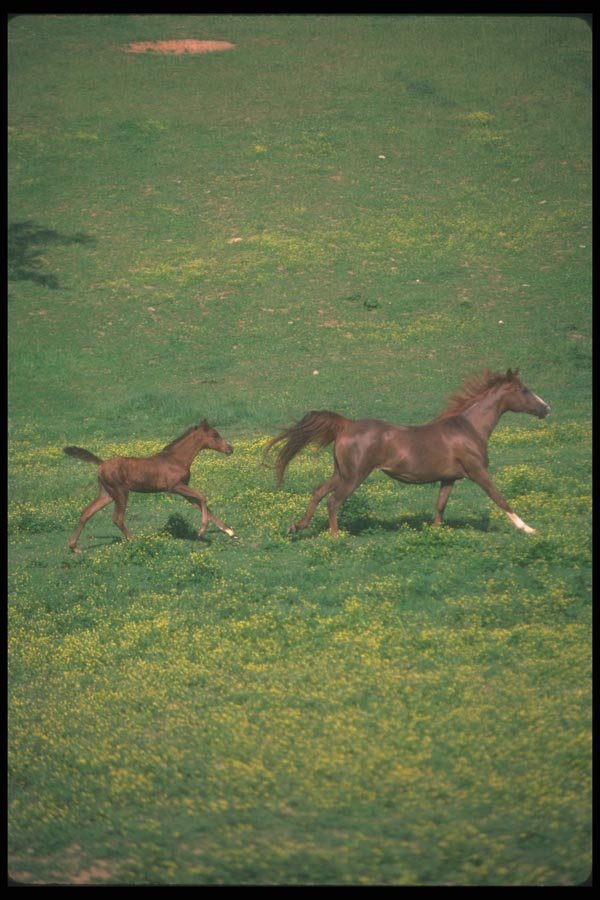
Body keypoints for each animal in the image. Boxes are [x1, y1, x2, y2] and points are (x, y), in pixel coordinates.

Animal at [64, 420, 236, 552]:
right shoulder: (174, 487)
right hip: (121, 492)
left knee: (87, 512)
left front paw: (229, 531)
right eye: (215, 436)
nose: (230, 449)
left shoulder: (183, 490)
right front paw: (202, 530)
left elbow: (200, 503)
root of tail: (101, 464)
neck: (177, 459)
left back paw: (74, 547)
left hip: (107, 493)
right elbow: (202, 496)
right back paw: (134, 540)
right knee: (117, 518)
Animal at [264, 369, 550, 538]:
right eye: (524, 390)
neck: (469, 429)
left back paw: (297, 526)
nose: (546, 408)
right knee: (334, 501)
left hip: (342, 472)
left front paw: (435, 533)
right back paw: (335, 537)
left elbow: (440, 507)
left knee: (318, 493)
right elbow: (500, 498)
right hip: (354, 476)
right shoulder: (478, 471)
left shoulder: (449, 478)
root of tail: (346, 424)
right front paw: (529, 529)